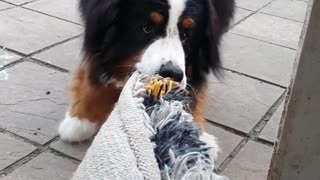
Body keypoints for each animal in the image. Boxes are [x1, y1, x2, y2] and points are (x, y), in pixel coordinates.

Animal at [57, 0, 234, 143]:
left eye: (185, 35)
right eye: (147, 28)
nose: (172, 74)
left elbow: (195, 89)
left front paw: (195, 133)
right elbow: (94, 72)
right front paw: (81, 119)